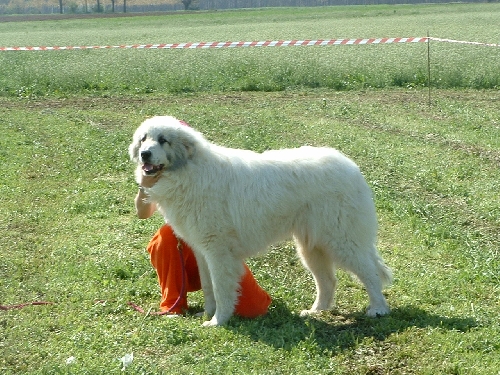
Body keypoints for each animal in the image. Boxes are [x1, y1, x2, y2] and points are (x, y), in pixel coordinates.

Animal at [130, 116, 394, 328]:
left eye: (163, 140)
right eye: (144, 139)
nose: (144, 154)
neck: (189, 170)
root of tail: (352, 167)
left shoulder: (218, 252)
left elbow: (221, 288)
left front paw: (218, 321)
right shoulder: (202, 251)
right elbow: (208, 287)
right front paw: (208, 314)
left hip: (342, 240)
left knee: (370, 273)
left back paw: (378, 309)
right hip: (312, 247)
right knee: (328, 280)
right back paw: (315, 311)